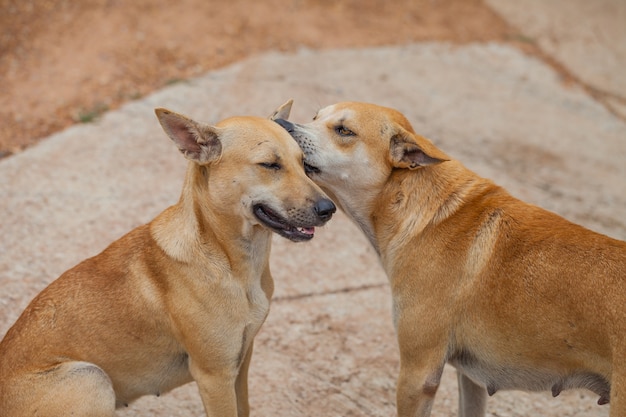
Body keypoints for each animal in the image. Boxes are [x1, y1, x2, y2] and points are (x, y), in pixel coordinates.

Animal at [0, 105, 334, 416]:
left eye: (303, 163)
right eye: (269, 165)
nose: (328, 209)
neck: (229, 260)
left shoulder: (241, 364)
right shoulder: (215, 377)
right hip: (91, 378)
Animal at [274, 101, 624, 416]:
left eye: (344, 131)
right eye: (316, 117)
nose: (282, 124)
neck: (415, 204)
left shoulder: (418, 374)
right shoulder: (471, 379)